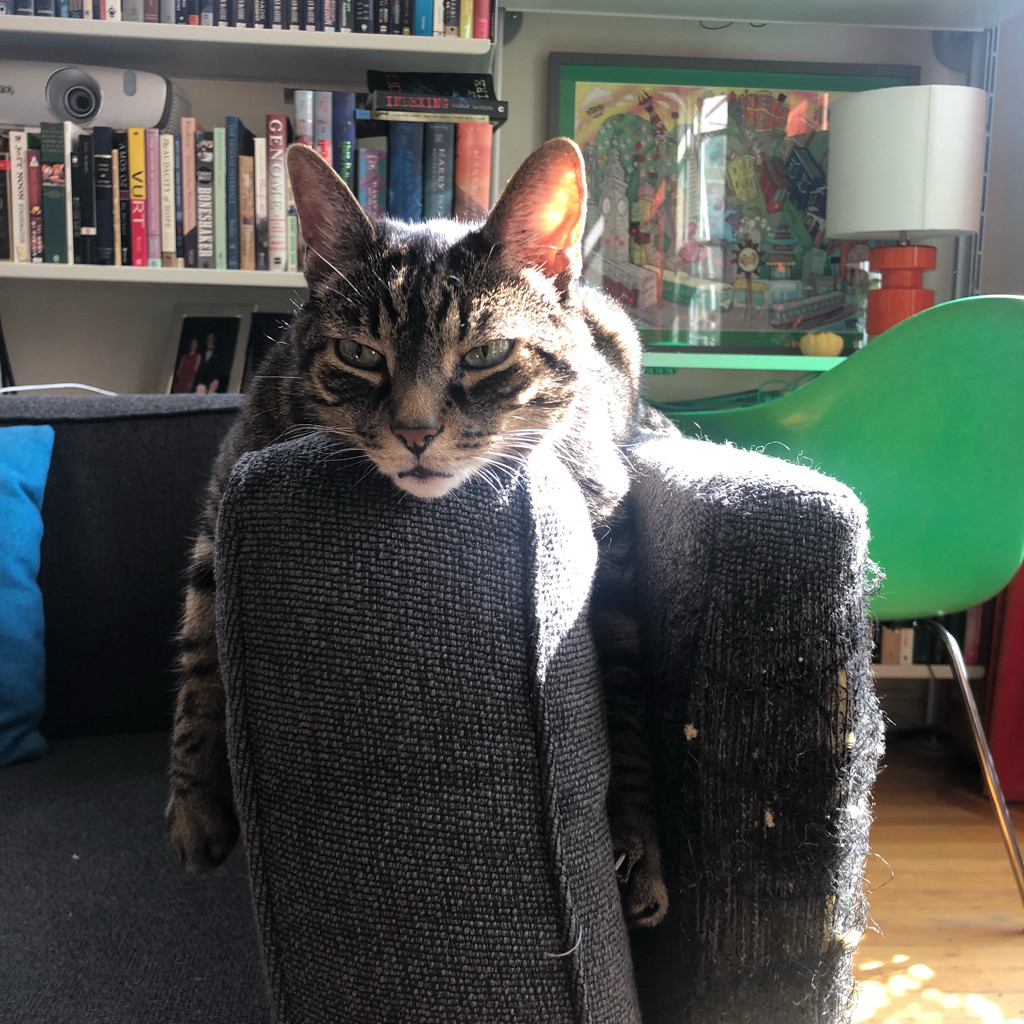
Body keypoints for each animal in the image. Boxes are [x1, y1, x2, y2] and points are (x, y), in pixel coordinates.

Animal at [168, 138, 671, 929]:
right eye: (360, 355)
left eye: (488, 354)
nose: (415, 432)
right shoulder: (226, 499)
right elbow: (197, 655)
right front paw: (193, 800)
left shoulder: (610, 541)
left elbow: (625, 694)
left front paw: (639, 837)